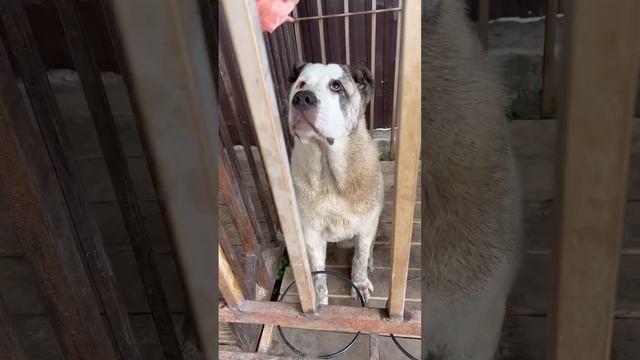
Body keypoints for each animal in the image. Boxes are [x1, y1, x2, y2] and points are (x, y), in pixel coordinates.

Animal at [286, 63, 384, 306]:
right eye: (300, 84)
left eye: (336, 85)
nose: (302, 98)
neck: (330, 177)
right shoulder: (311, 234)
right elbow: (319, 274)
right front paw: (319, 301)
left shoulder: (366, 227)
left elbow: (359, 258)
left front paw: (359, 284)